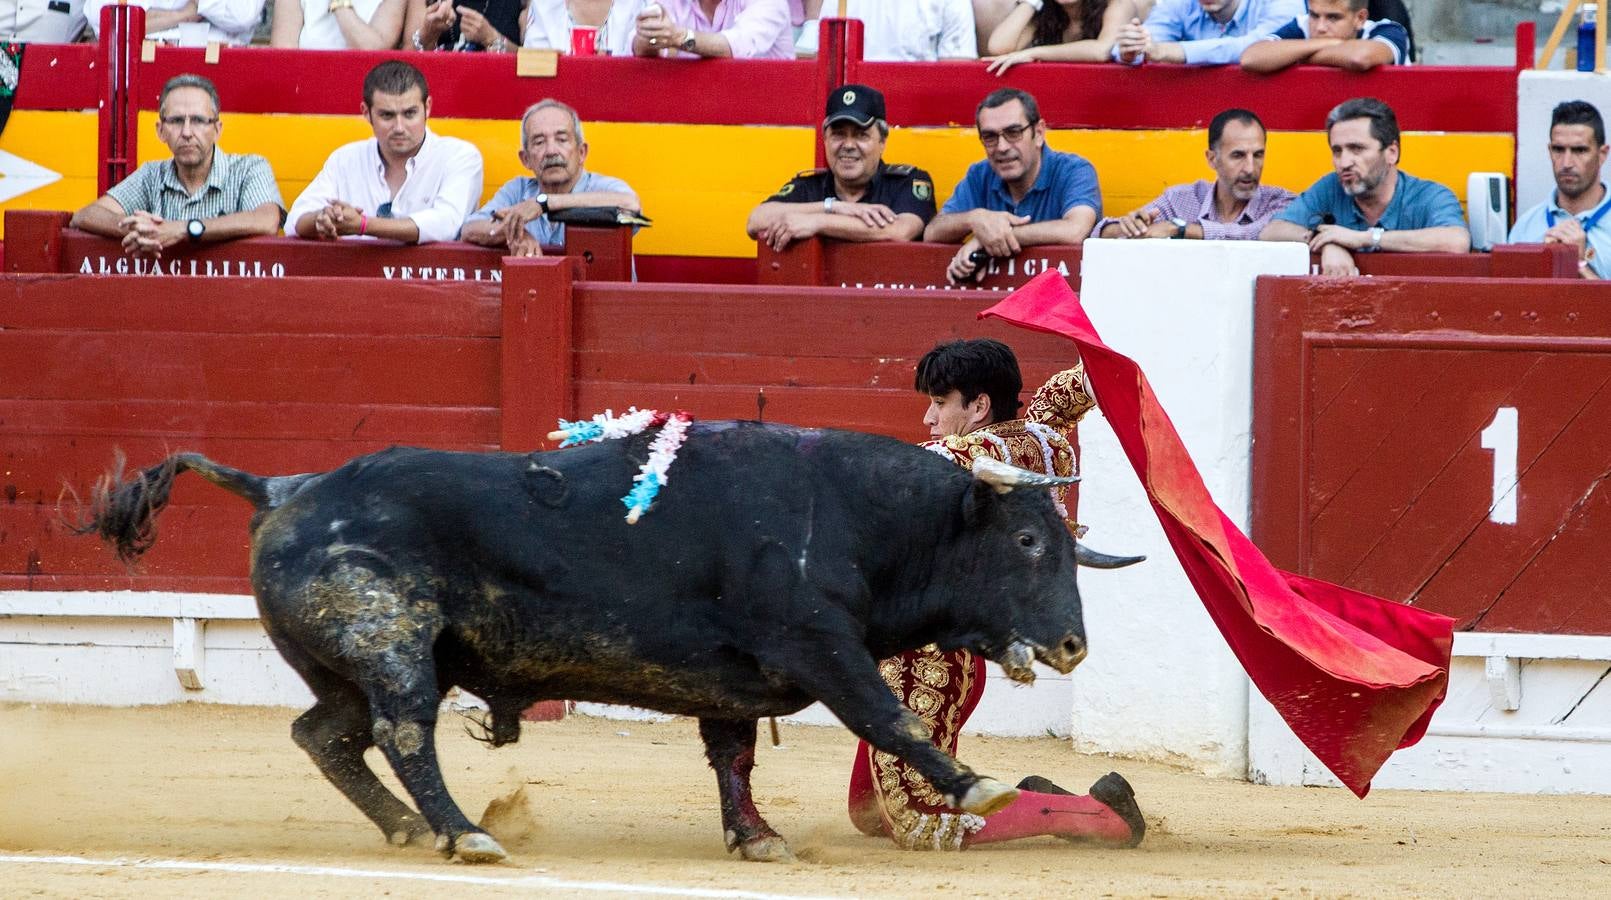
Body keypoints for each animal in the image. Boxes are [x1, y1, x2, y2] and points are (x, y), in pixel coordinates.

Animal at [78, 421, 1134, 869]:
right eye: (1028, 540)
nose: (1073, 645)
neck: (854, 515)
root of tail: (286, 487)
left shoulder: (732, 682)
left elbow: (733, 758)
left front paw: (756, 838)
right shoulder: (816, 646)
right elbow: (885, 717)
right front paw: (978, 787)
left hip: (347, 662)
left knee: (326, 734)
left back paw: (413, 829)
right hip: (394, 645)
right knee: (403, 731)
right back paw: (462, 833)